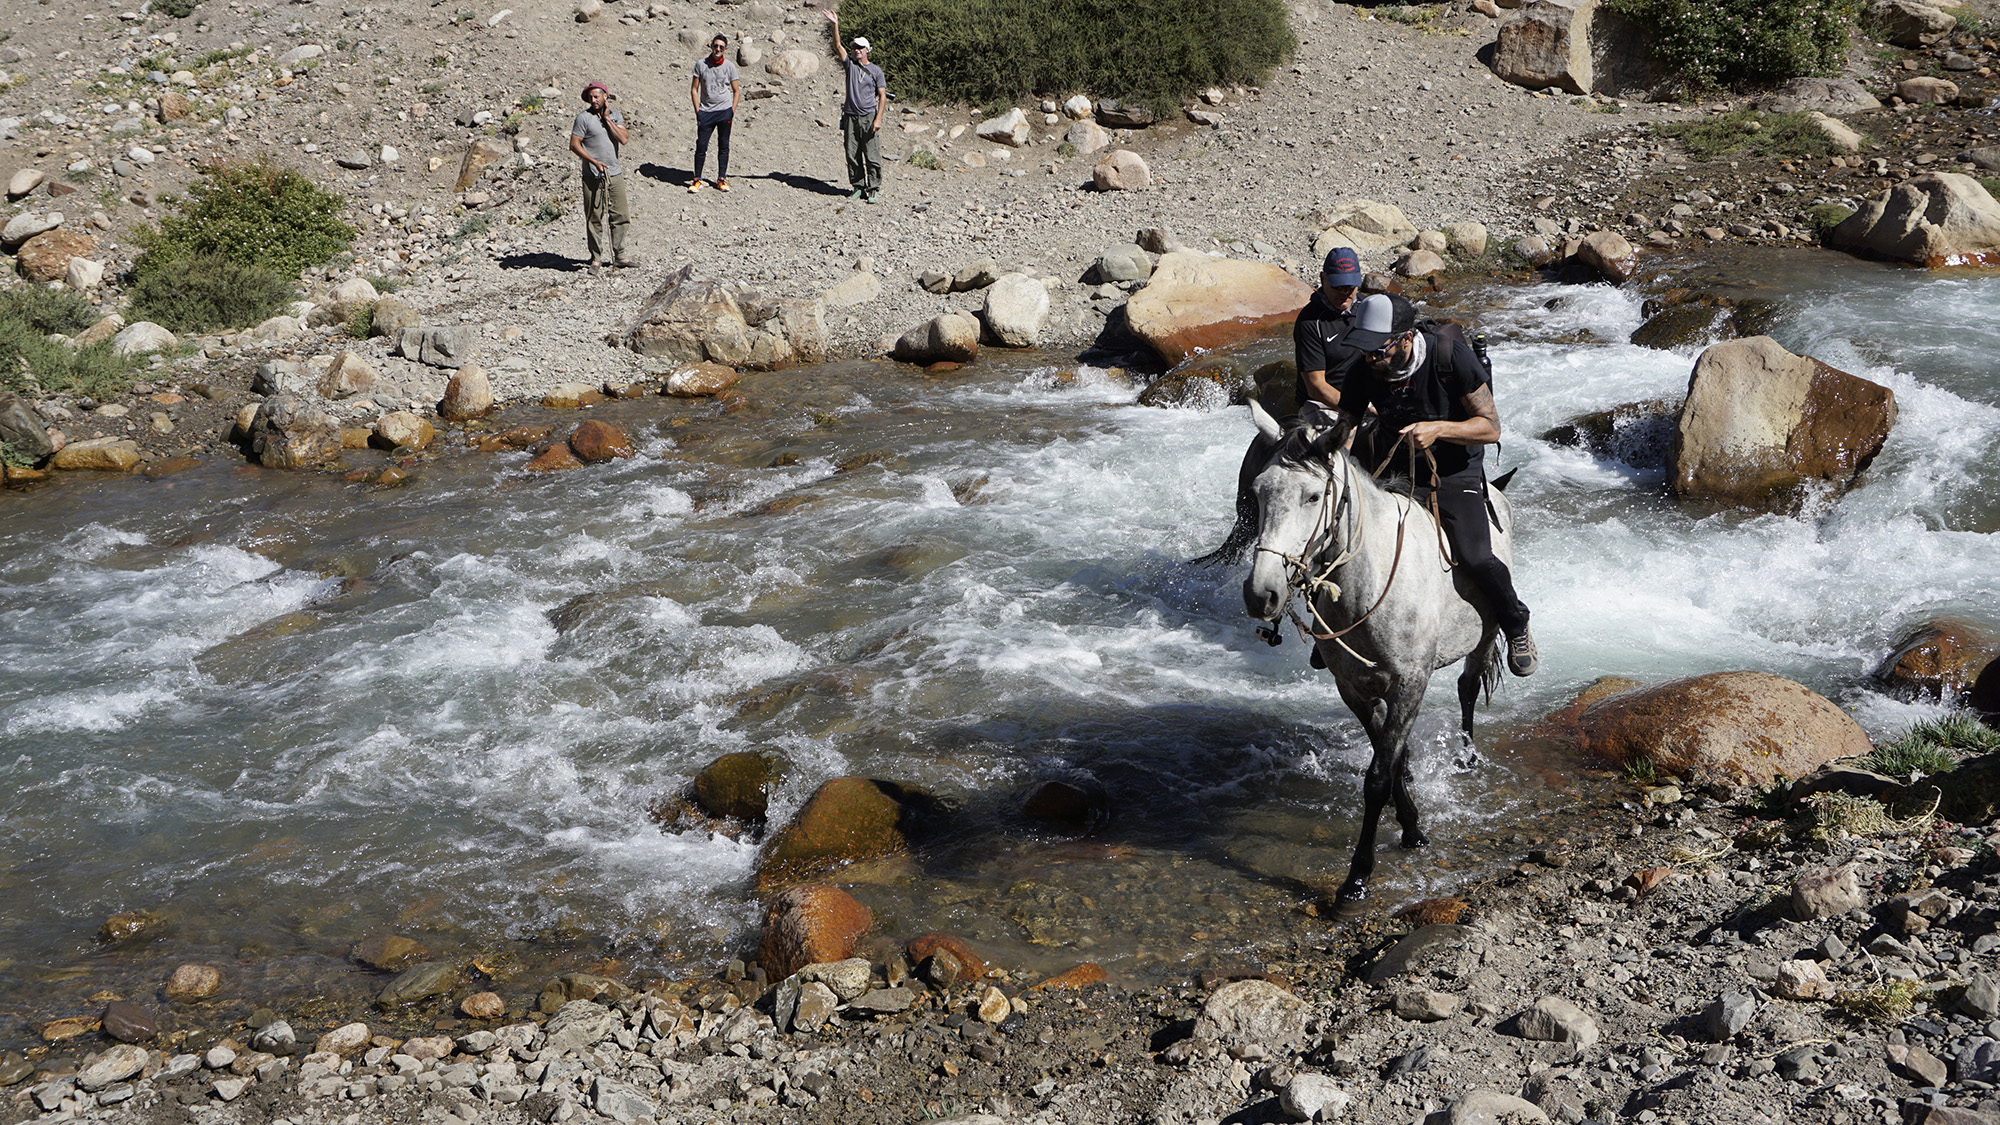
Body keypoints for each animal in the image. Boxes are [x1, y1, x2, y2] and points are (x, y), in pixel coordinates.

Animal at [1240, 398, 1504, 904]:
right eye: (1259, 492)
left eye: (1313, 497)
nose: (1261, 594)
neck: (1370, 579)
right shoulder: (1355, 687)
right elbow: (1391, 755)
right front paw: (1412, 823)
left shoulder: (1410, 681)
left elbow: (1378, 777)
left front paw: (1357, 877)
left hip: (1482, 636)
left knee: (1468, 685)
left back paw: (1467, 756)